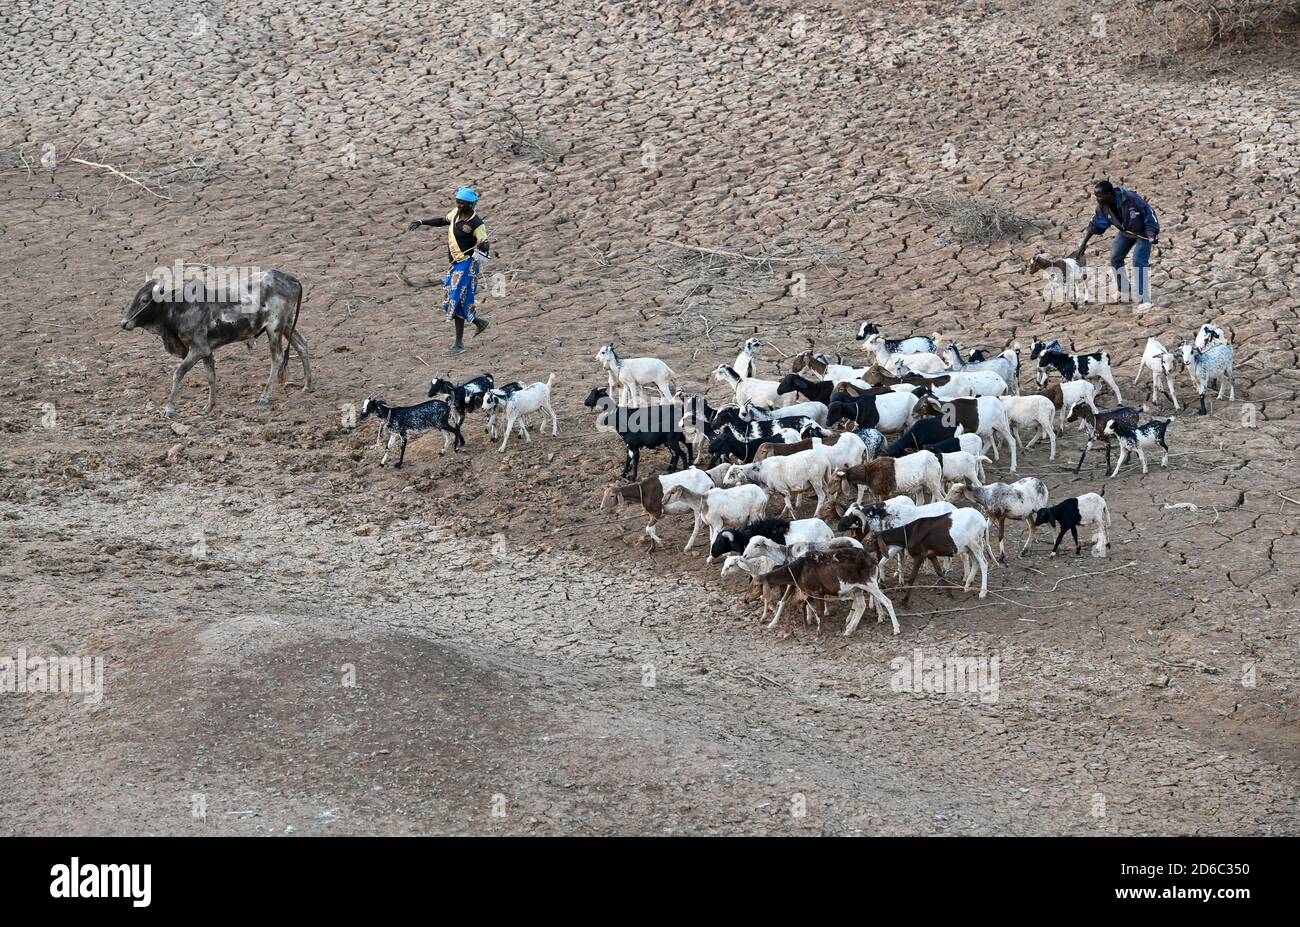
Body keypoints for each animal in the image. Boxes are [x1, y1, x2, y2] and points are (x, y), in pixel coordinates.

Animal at [120, 268, 312, 418]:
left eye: (145, 300)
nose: (123, 323)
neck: (181, 307)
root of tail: (291, 279)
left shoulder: (197, 350)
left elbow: (178, 373)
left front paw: (169, 409)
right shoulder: (206, 351)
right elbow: (211, 376)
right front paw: (209, 407)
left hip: (274, 328)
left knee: (277, 357)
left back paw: (265, 396)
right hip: (287, 325)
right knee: (302, 345)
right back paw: (307, 385)